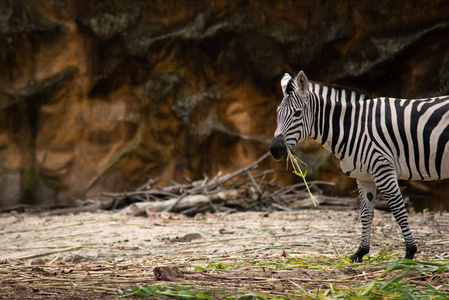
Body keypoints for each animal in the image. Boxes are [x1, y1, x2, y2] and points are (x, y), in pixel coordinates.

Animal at [270, 71, 448, 262]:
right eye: (277, 112)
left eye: (297, 113)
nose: (274, 149)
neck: (354, 127)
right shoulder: (364, 176)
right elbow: (365, 213)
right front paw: (360, 252)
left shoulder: (383, 169)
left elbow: (398, 210)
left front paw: (409, 252)